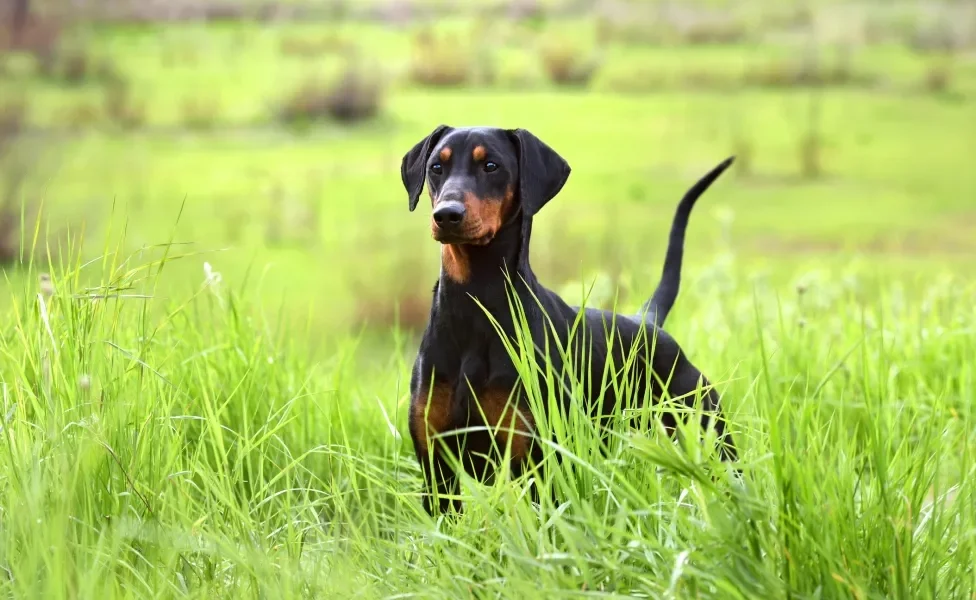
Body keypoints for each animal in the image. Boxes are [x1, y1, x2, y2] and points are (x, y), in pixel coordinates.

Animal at [400, 124, 736, 512]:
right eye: (436, 168)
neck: (475, 305)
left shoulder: (534, 462)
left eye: (491, 166)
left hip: (708, 430)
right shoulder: (437, 469)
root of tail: (647, 323)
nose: (447, 215)